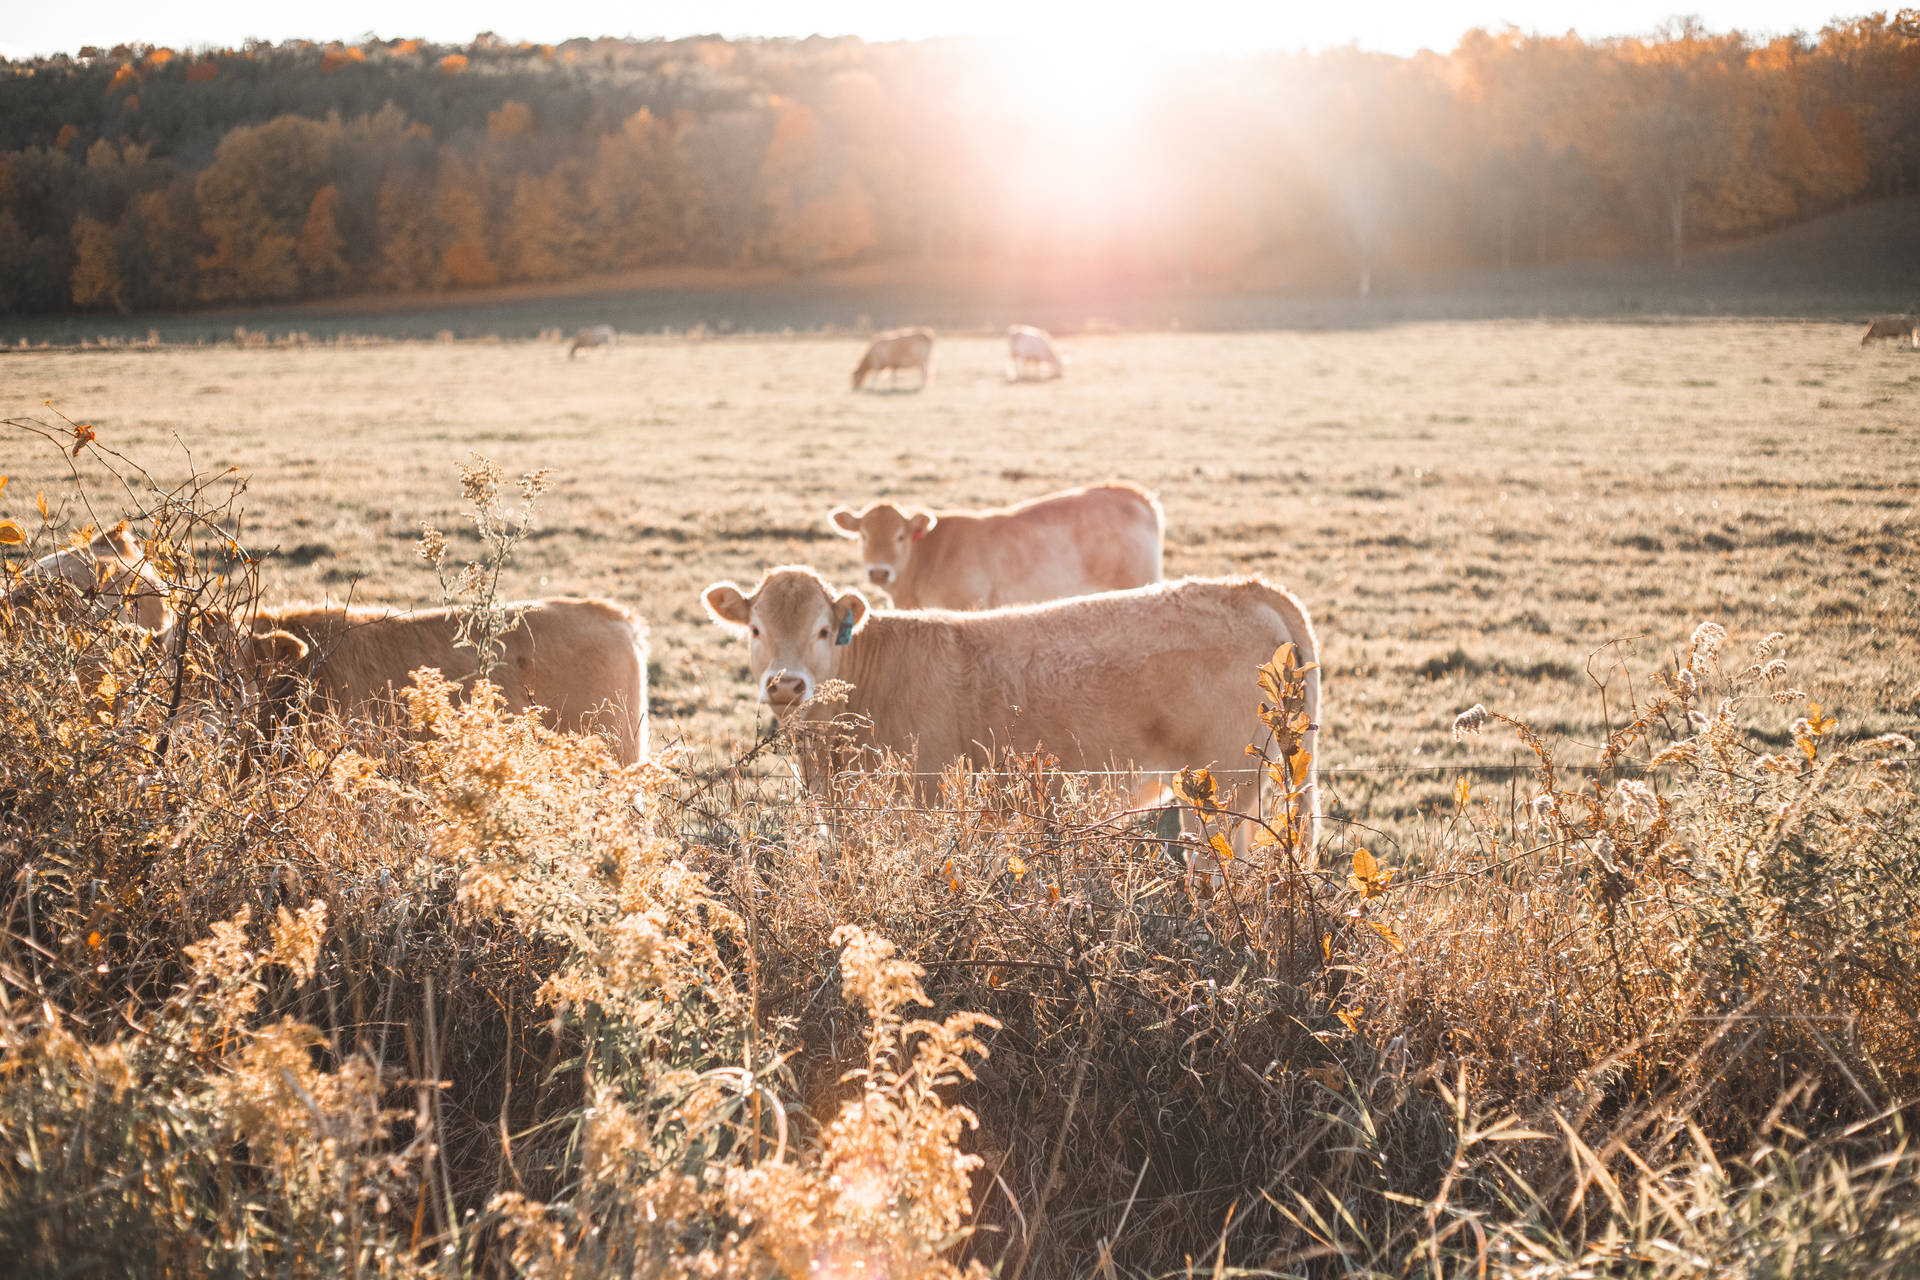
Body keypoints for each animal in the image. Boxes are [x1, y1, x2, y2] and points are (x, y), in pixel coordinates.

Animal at [701, 566, 1321, 866]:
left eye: (825, 631)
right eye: (754, 629)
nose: (786, 683)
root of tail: (1246, 589)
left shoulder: (920, 809)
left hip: (1222, 790)